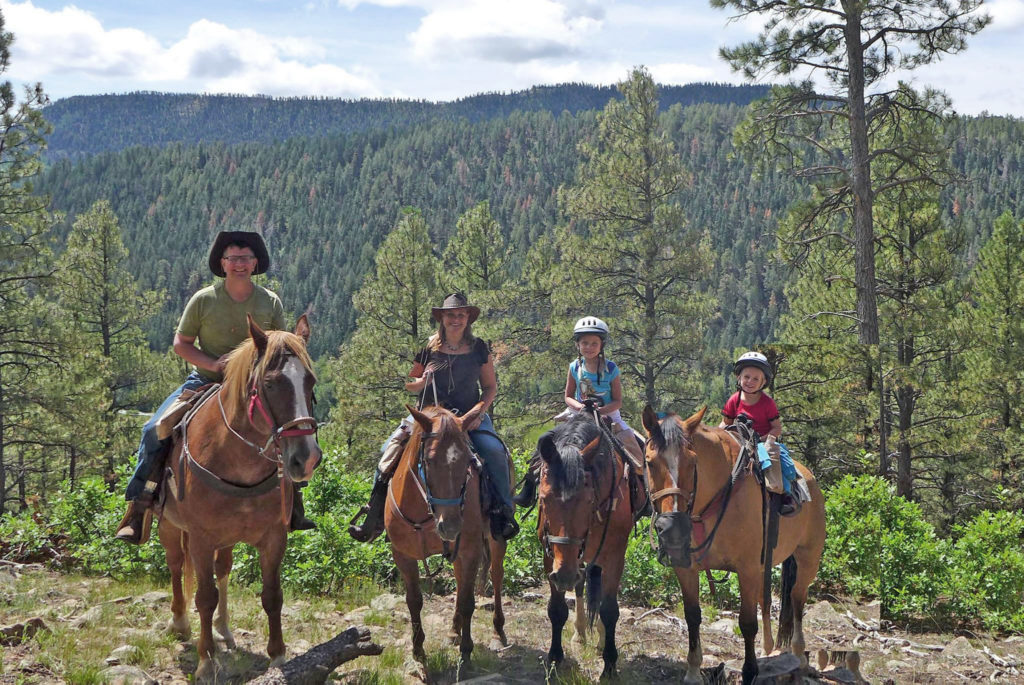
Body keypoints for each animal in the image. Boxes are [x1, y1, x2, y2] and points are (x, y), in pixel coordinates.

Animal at [156, 315, 319, 679]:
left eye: (311, 382)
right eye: (270, 384)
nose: (306, 458)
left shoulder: (274, 537)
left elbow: (272, 595)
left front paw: (278, 656)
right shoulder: (201, 539)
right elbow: (204, 596)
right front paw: (206, 661)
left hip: (227, 538)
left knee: (224, 569)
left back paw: (225, 629)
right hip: (169, 526)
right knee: (176, 566)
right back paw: (179, 622)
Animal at [385, 403, 507, 663]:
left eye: (469, 461)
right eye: (429, 461)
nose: (450, 527)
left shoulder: (470, 550)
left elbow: (468, 602)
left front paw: (467, 651)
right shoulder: (402, 554)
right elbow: (414, 601)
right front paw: (418, 650)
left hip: (495, 538)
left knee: (496, 575)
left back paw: (497, 630)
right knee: (460, 582)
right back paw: (453, 631)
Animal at [532, 405, 634, 679]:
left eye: (588, 500)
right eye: (543, 499)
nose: (565, 575)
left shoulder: (615, 555)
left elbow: (610, 611)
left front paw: (609, 664)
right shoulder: (551, 557)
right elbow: (557, 609)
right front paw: (555, 658)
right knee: (580, 587)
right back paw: (579, 634)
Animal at [638, 405, 823, 683]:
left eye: (693, 462)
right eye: (649, 462)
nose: (672, 527)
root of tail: (810, 478)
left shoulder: (746, 569)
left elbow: (747, 623)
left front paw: (750, 672)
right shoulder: (687, 567)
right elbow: (692, 615)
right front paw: (693, 670)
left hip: (808, 559)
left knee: (797, 598)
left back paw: (799, 655)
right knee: (766, 601)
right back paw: (768, 650)